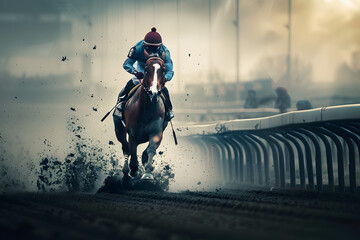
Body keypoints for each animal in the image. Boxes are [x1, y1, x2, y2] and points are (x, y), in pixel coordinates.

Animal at [113, 50, 168, 181]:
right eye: (146, 69)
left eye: (163, 70)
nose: (153, 92)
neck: (145, 110)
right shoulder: (133, 135)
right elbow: (132, 152)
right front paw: (133, 170)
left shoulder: (157, 132)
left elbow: (150, 150)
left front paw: (147, 172)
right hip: (119, 129)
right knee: (125, 148)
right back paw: (126, 171)